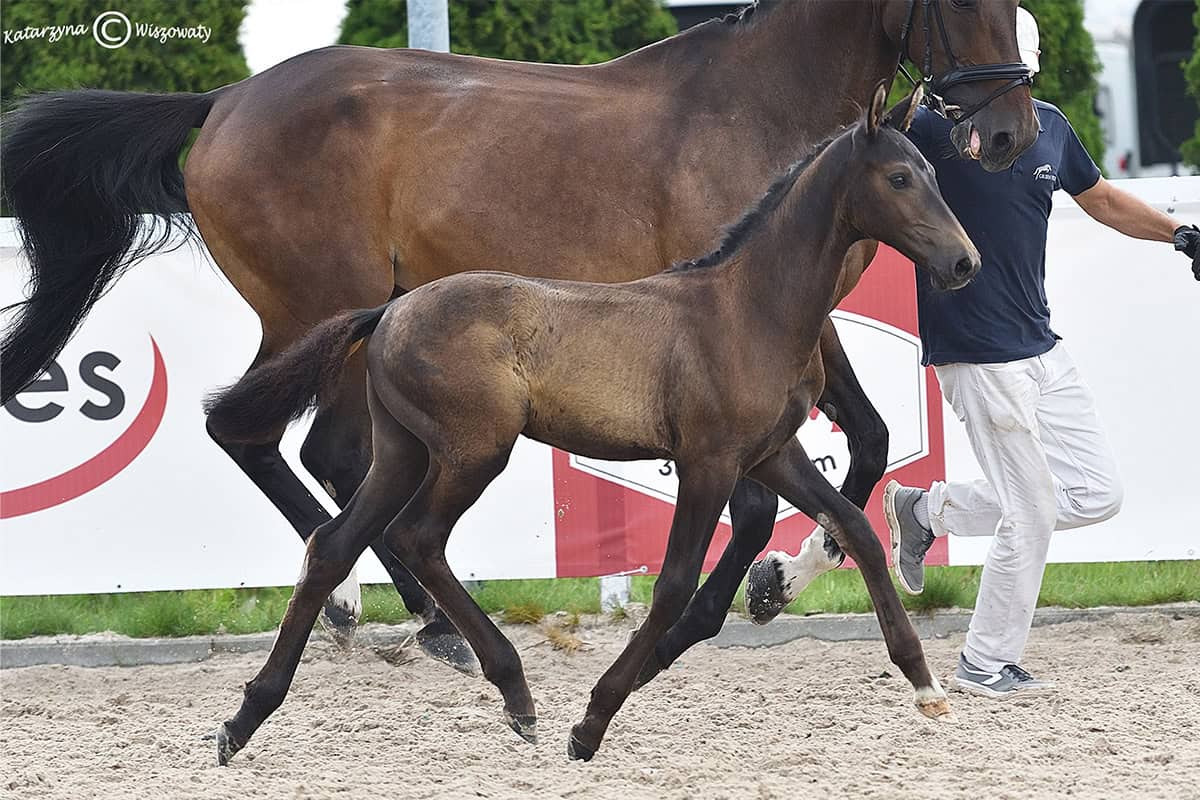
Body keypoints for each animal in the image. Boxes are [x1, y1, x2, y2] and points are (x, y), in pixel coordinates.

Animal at [0, 0, 1035, 667]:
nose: (1011, 136)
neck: (760, 104)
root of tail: (222, 101)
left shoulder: (794, 323)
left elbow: (866, 438)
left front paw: (776, 580)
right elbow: (785, 479)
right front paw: (743, 592)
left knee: (310, 448)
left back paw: (404, 610)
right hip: (316, 309)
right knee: (270, 436)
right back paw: (393, 611)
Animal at [206, 83, 980, 764]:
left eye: (935, 171)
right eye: (901, 177)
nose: (964, 261)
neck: (747, 307)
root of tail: (389, 310)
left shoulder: (772, 454)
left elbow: (857, 532)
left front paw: (926, 685)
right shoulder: (709, 462)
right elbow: (672, 585)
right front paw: (591, 724)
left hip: (404, 450)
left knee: (335, 546)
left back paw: (244, 720)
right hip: (471, 451)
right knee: (416, 538)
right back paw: (515, 693)